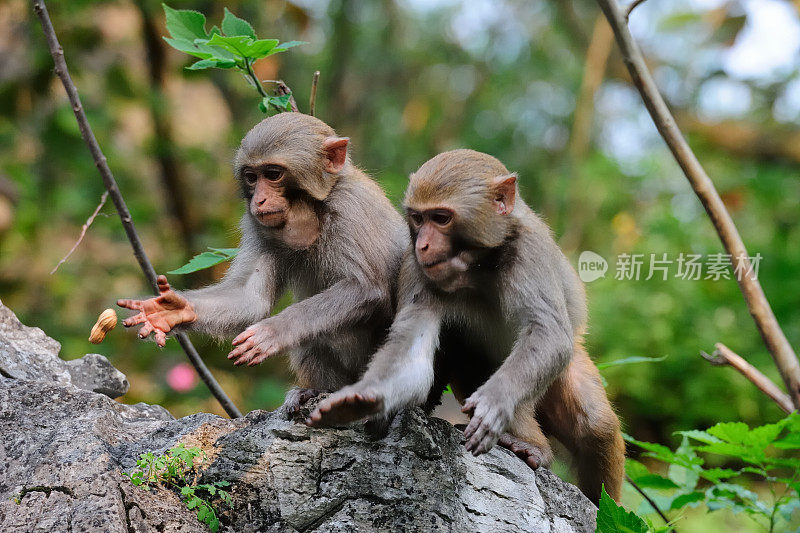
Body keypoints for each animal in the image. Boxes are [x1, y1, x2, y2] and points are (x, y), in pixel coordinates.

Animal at [114, 113, 406, 416]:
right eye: (252, 177)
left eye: (274, 174)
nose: (259, 199)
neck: (313, 211)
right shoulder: (257, 225)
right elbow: (251, 299)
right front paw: (173, 311)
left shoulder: (352, 207)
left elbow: (367, 289)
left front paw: (274, 331)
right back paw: (319, 390)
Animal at [306, 150, 624, 502]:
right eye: (418, 219)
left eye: (441, 218)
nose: (424, 245)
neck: (478, 266)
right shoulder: (417, 267)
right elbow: (410, 345)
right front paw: (364, 398)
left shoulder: (529, 251)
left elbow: (549, 334)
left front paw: (496, 401)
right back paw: (529, 444)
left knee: (596, 425)